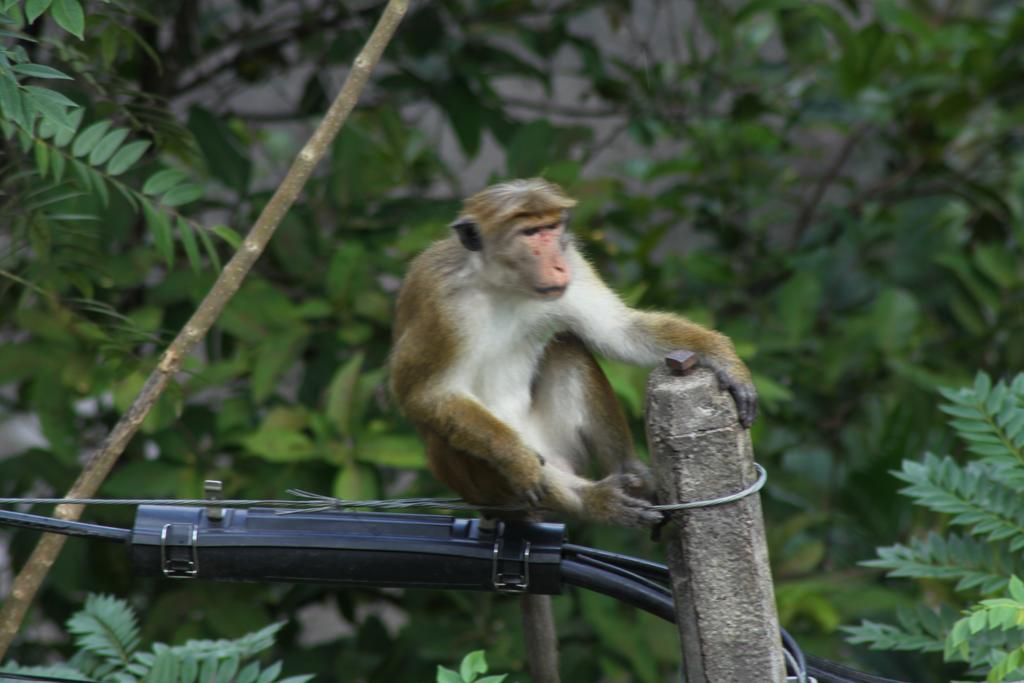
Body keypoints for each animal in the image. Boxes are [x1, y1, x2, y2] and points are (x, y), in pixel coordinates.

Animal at [391, 178, 761, 683]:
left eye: (551, 228)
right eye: (529, 233)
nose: (556, 259)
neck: (501, 284)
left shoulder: (576, 271)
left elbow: (619, 331)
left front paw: (722, 358)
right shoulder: (439, 299)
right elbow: (424, 396)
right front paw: (517, 461)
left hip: (561, 443)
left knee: (567, 345)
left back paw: (633, 475)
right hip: (498, 482)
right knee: (450, 438)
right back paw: (588, 500)